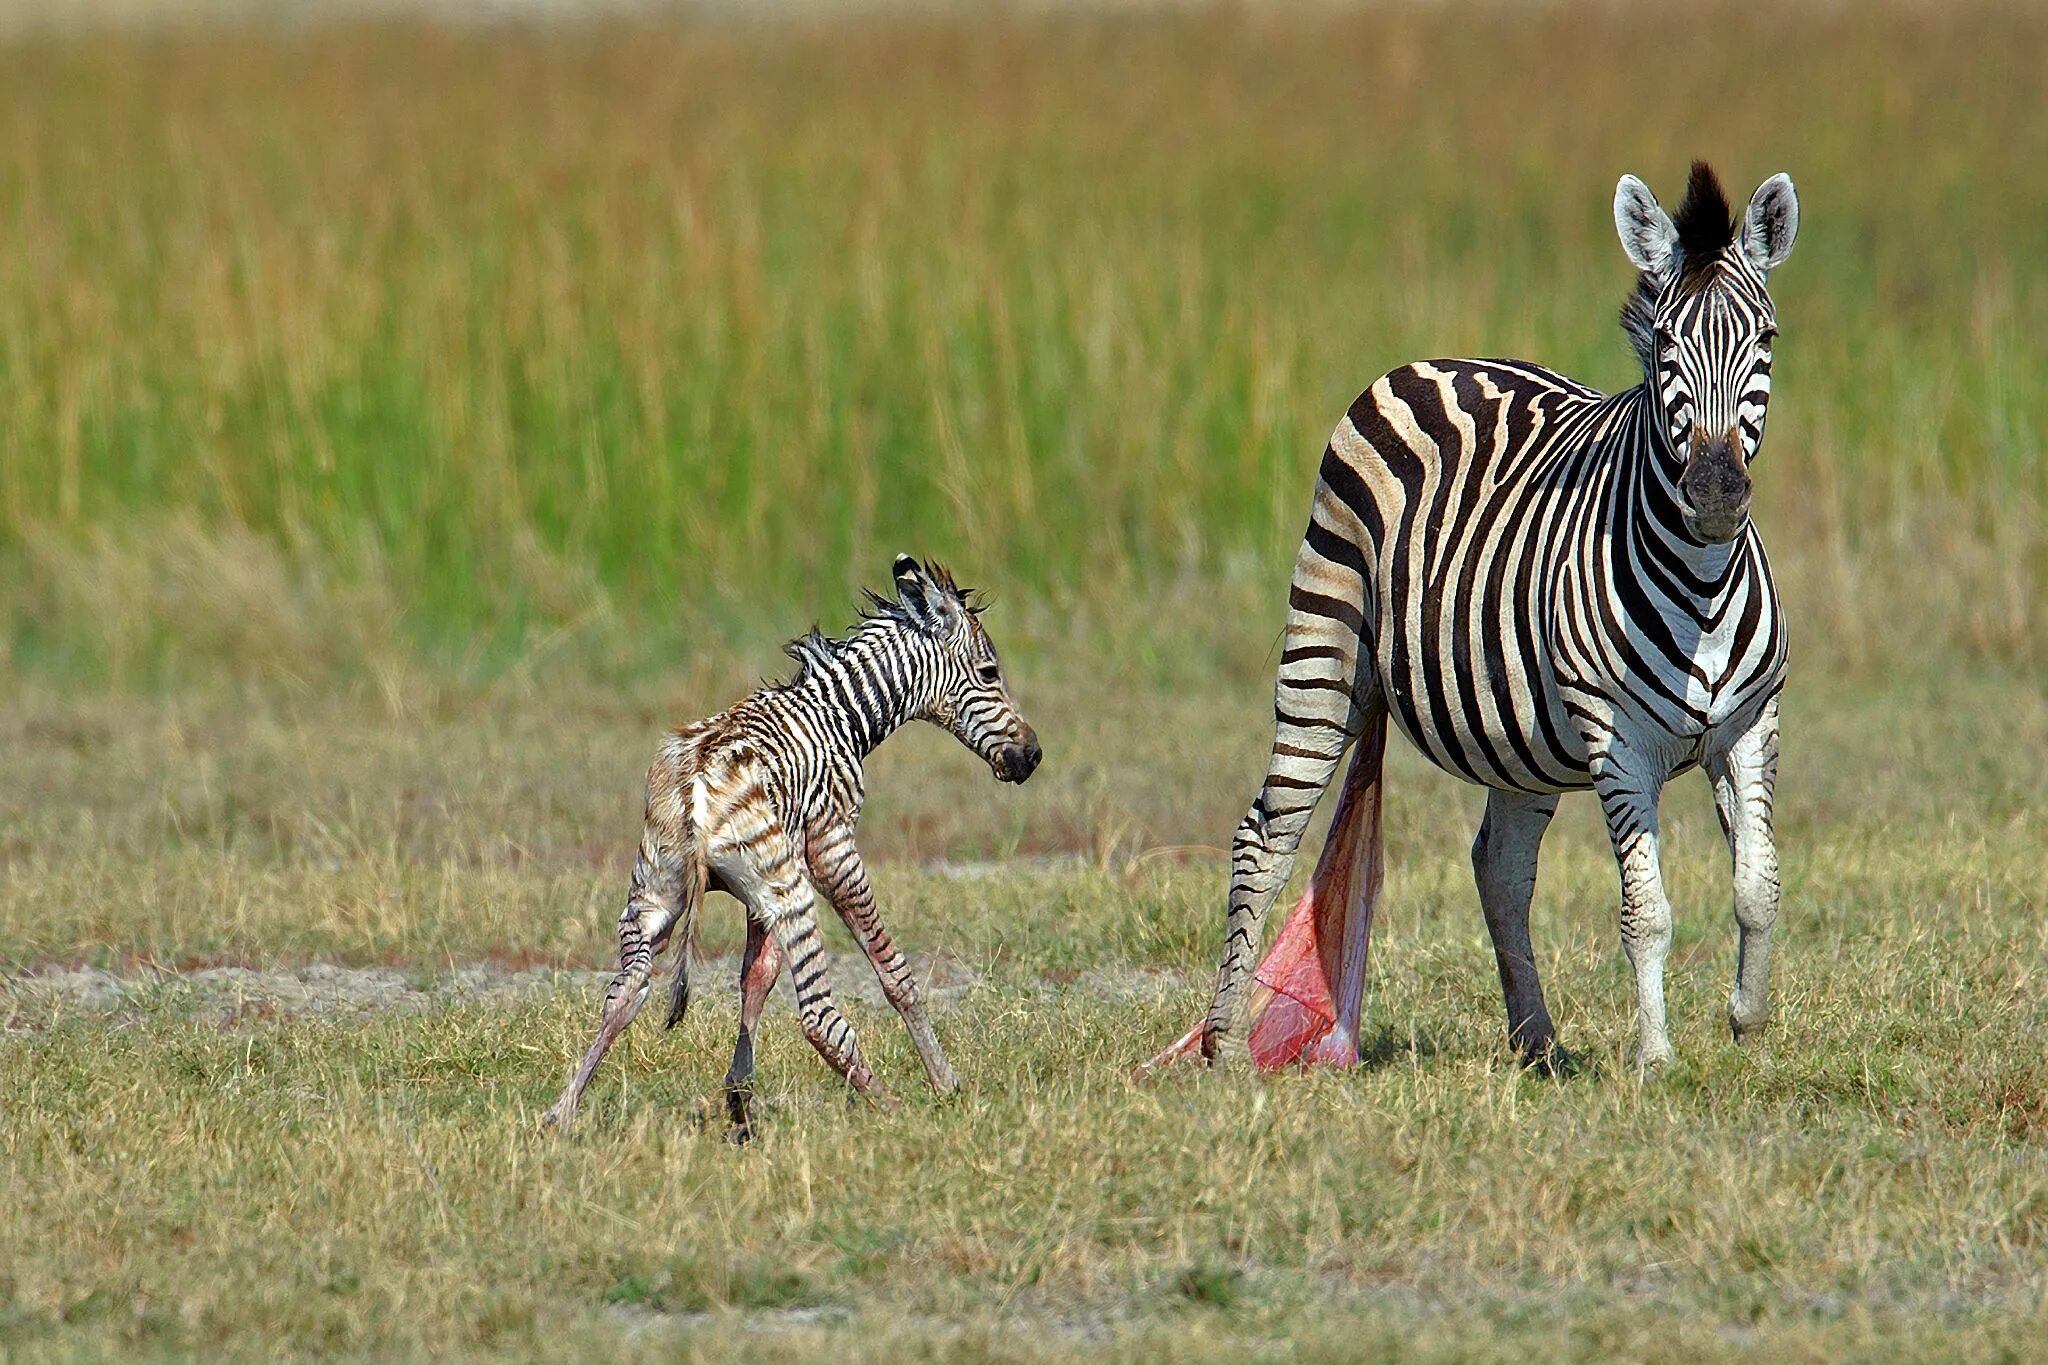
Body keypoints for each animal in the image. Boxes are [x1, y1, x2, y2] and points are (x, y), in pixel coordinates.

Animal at [544, 556, 1040, 1129]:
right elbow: (894, 973)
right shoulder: (832, 850)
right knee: (818, 1016)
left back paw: (561, 1113)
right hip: (790, 892)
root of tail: (698, 788)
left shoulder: (764, 889)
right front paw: (946, 1083)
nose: (1033, 756)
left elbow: (756, 978)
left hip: (657, 888)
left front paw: (739, 1098)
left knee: (626, 989)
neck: (844, 716)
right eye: (989, 673)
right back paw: (892, 1108)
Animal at [1163, 162, 1802, 1080]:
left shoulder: (1752, 725)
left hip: (1519, 736)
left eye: (1767, 340)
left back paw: (1536, 1041)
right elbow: (1646, 912)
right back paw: (1222, 1043)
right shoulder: (1619, 744)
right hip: (1324, 649)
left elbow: (1758, 888)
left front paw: (1747, 1022)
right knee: (1265, 836)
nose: (1716, 495)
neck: (1703, 585)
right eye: (1664, 348)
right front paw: (1654, 1058)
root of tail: (1435, 361)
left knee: (1498, 868)